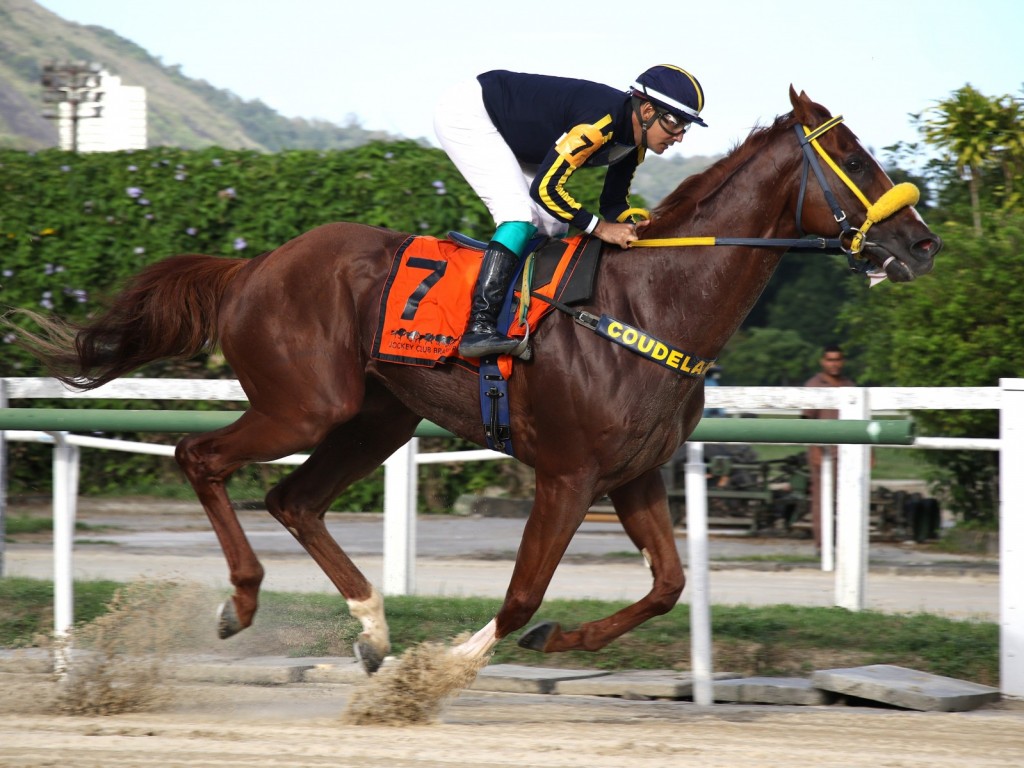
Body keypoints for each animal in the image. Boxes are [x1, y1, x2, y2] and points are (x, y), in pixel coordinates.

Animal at [8, 90, 937, 675]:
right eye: (854, 156)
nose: (922, 245)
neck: (651, 303)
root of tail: (254, 267)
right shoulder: (567, 475)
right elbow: (523, 592)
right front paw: (449, 665)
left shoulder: (635, 474)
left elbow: (667, 587)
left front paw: (558, 643)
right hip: (305, 405)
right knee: (201, 458)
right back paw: (241, 603)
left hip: (377, 417)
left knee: (293, 501)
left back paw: (371, 626)